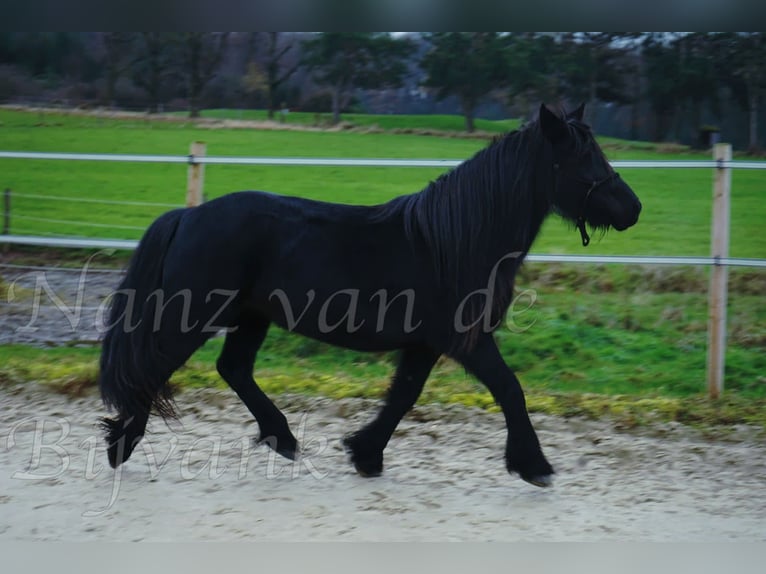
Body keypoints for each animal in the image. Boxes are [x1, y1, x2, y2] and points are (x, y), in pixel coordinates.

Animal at [98, 103, 641, 487]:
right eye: (583, 157)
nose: (632, 208)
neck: (452, 241)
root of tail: (188, 215)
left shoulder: (425, 344)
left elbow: (404, 395)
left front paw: (365, 453)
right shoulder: (466, 339)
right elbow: (510, 389)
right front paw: (535, 466)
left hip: (252, 316)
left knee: (232, 369)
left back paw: (283, 439)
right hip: (195, 313)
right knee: (152, 367)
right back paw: (121, 444)